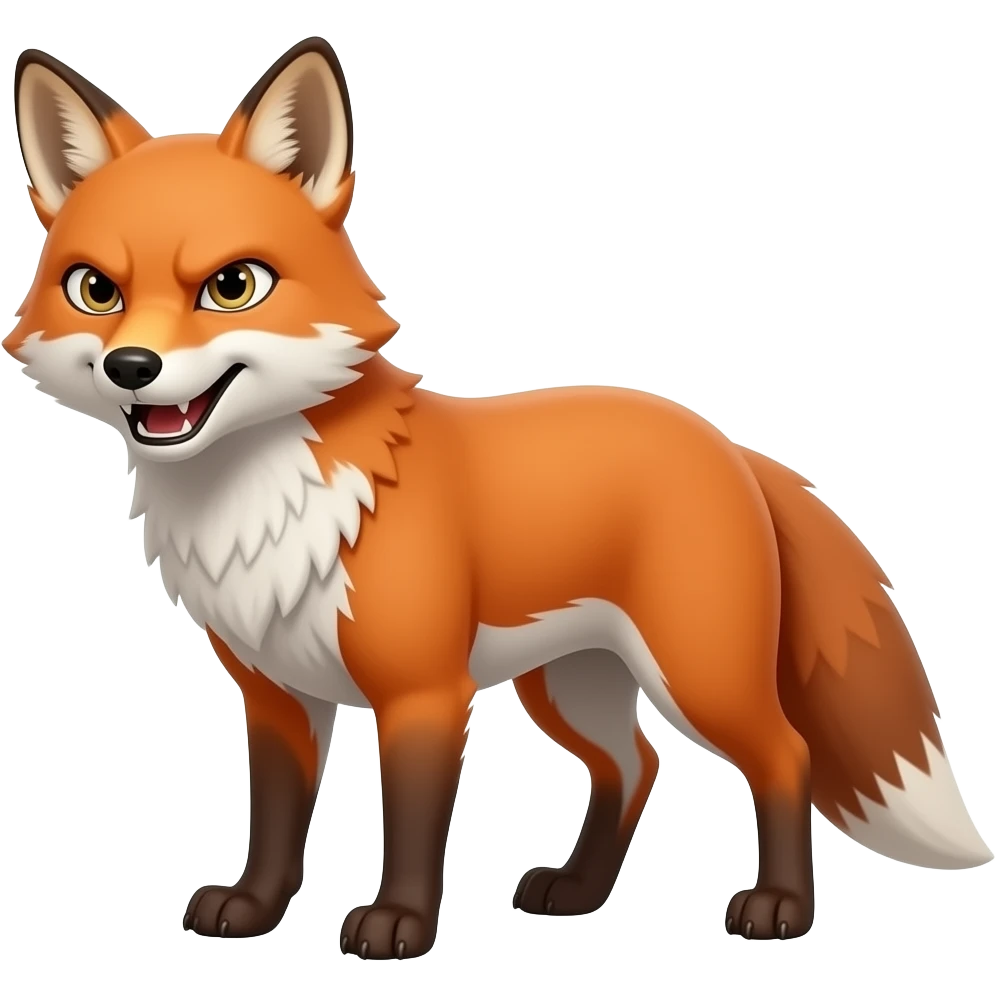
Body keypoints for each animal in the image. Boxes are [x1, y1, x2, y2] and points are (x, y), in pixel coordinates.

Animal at [6, 37, 992, 958]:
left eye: (232, 285)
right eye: (95, 290)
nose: (134, 367)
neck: (263, 501)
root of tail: (729, 444)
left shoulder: (424, 692)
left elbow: (409, 825)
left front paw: (399, 925)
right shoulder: (277, 694)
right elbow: (277, 824)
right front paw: (253, 911)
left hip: (697, 672)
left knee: (784, 755)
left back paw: (780, 908)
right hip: (571, 684)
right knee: (634, 766)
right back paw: (580, 893)